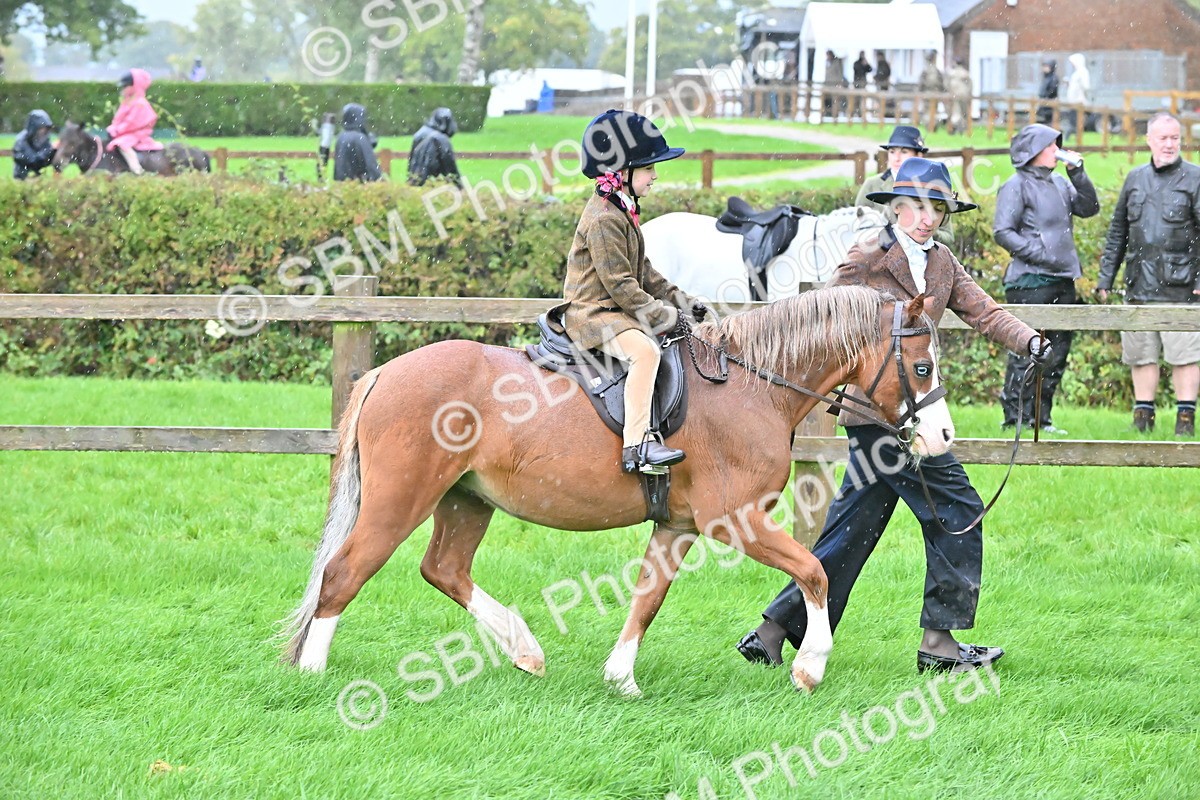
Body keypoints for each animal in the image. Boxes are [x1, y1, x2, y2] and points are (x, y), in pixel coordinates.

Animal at [279, 286, 953, 697]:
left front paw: (620, 676)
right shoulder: (734, 519)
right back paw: (314, 671)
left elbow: (648, 598)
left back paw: (525, 649)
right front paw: (811, 667)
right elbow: (814, 571)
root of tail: (385, 373)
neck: (751, 385)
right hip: (400, 502)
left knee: (443, 569)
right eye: (922, 368)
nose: (942, 435)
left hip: (466, 500)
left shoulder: (678, 526)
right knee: (344, 573)